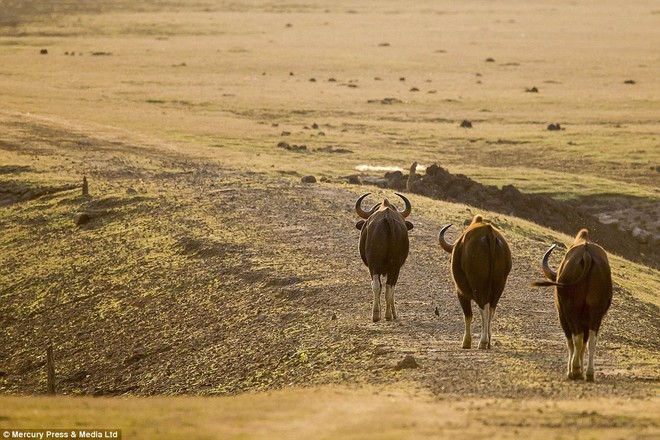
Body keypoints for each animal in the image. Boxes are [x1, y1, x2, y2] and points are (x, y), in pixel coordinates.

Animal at [356, 192, 412, 324]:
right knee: (389, 287)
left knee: (377, 285)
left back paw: (378, 315)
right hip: (395, 266)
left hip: (374, 264)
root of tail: (388, 219)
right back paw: (387, 314)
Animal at [440, 215, 512, 348]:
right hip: (500, 284)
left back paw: (483, 341)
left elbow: (468, 315)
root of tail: (489, 233)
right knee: (491, 308)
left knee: (483, 308)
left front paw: (466, 342)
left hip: (478, 285)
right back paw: (488, 340)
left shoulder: (461, 292)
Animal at [532, 229, 612, 380]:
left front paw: (572, 370)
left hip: (571, 311)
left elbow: (570, 341)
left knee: (576, 338)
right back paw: (589, 373)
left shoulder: (562, 315)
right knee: (591, 340)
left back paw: (575, 371)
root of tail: (586, 255)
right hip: (596, 314)